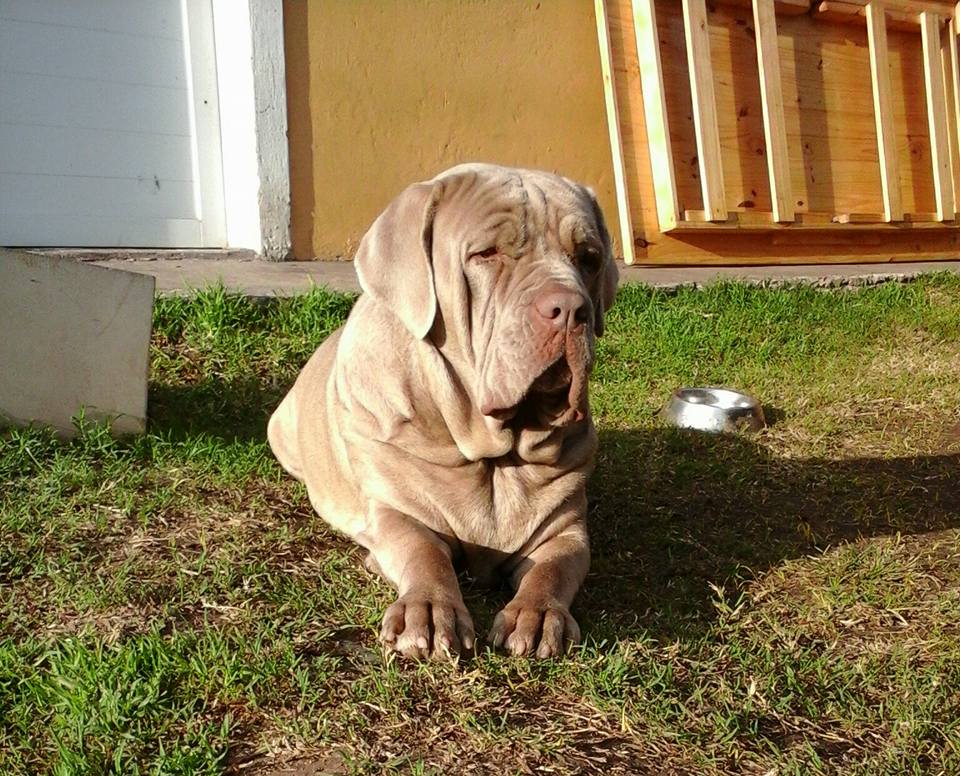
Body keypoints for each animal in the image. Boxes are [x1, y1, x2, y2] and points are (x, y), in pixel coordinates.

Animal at [266, 164, 620, 660]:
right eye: (486, 254)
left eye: (588, 258)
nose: (571, 308)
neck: (492, 451)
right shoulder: (397, 511)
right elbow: (423, 551)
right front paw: (429, 612)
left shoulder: (566, 530)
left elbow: (554, 567)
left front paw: (537, 615)